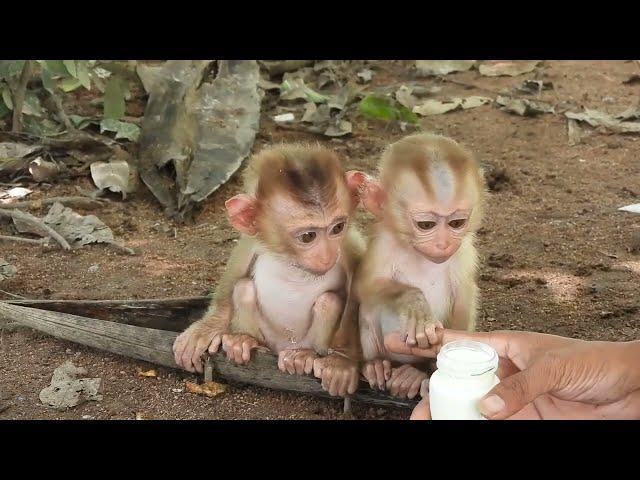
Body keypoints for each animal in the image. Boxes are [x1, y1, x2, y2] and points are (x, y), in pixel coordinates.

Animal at [172, 143, 368, 398]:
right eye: (308, 236)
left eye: (337, 228)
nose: (327, 255)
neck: (293, 261)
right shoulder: (252, 240)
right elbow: (233, 278)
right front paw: (205, 329)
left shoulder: (349, 246)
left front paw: (343, 362)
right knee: (243, 287)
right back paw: (244, 341)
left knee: (329, 302)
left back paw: (304, 356)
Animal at [350, 133, 484, 400]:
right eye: (426, 225)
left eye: (456, 223)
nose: (443, 244)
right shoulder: (383, 245)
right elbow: (364, 287)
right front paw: (415, 303)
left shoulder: (464, 253)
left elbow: (463, 302)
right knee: (370, 304)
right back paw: (376, 364)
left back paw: (415, 373)